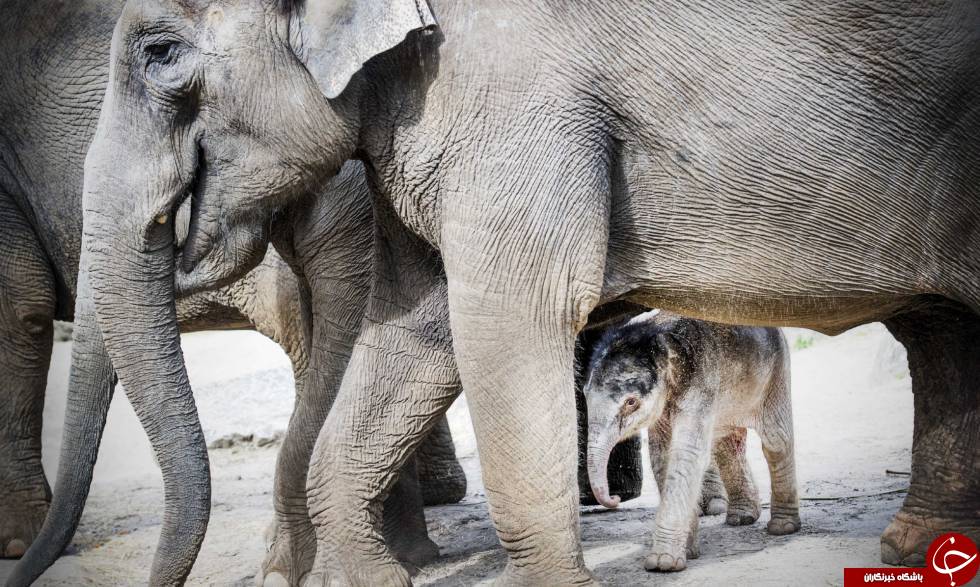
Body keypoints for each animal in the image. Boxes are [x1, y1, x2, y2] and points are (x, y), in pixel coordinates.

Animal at [584, 312, 800, 576]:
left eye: (631, 402)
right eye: (583, 393)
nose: (614, 498)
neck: (657, 339)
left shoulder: (699, 383)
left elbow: (687, 455)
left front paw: (663, 564)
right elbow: (662, 458)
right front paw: (687, 553)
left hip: (775, 372)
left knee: (776, 440)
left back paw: (782, 527)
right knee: (727, 443)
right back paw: (742, 518)